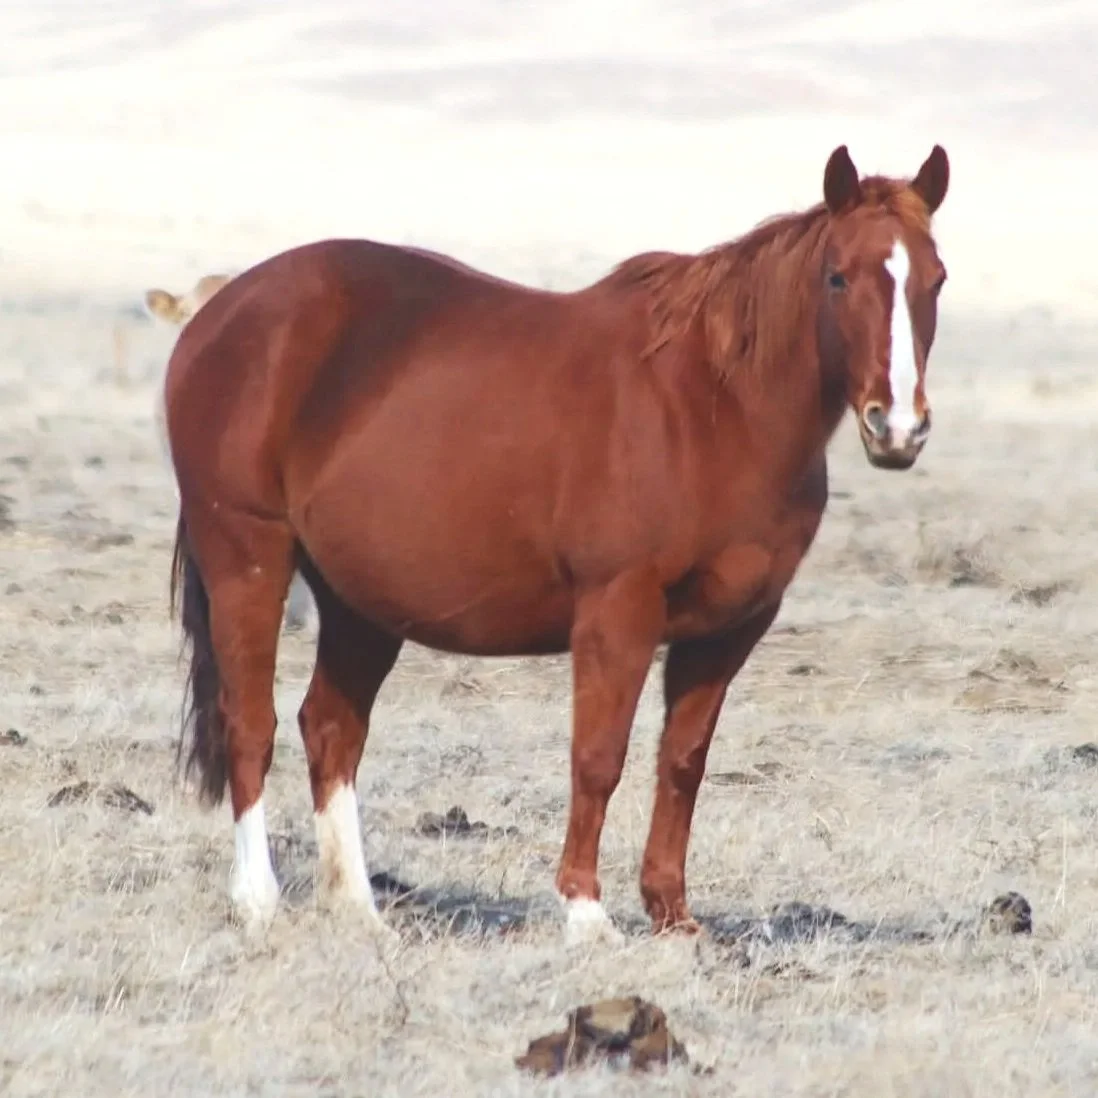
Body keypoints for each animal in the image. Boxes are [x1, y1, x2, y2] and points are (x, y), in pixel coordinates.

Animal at [164, 143, 950, 941]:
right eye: (838, 276)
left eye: (935, 279)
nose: (897, 428)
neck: (713, 406)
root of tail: (224, 310)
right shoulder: (618, 610)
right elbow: (598, 756)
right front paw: (585, 911)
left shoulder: (730, 630)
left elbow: (683, 761)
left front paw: (673, 915)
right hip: (248, 556)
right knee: (249, 722)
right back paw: (258, 900)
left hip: (360, 602)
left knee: (330, 729)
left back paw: (357, 908)